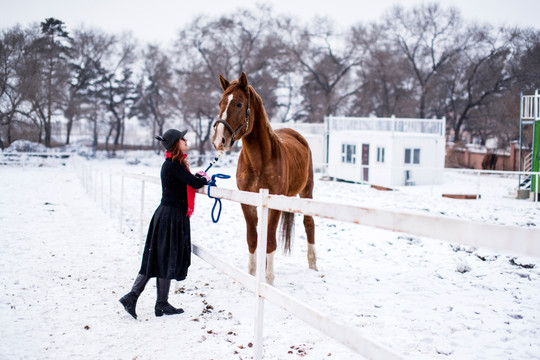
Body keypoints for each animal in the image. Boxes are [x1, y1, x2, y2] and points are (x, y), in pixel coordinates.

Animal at [211, 72, 316, 284]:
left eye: (239, 104)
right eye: (220, 103)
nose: (219, 141)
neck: (258, 162)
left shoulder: (273, 204)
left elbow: (269, 243)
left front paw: (268, 280)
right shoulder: (247, 202)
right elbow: (253, 239)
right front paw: (252, 275)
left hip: (307, 191)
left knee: (309, 224)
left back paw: (313, 266)